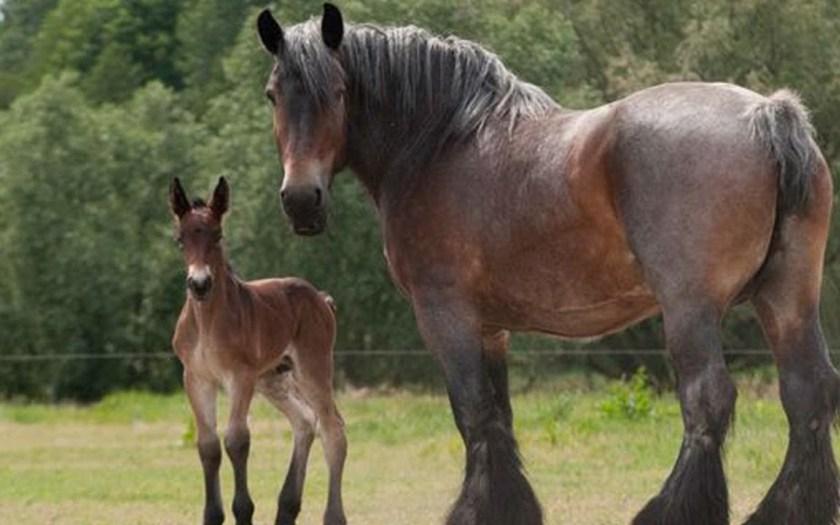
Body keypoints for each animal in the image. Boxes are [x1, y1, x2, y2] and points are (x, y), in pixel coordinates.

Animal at [169, 177, 346, 524]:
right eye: (181, 240)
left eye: (217, 235)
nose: (199, 284)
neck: (207, 324)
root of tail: (320, 298)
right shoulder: (196, 378)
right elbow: (208, 445)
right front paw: (213, 515)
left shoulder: (241, 377)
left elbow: (237, 440)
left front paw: (243, 510)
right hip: (273, 380)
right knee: (305, 421)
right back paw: (286, 508)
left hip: (312, 369)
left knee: (333, 430)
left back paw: (333, 516)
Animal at [260, 5, 836, 524]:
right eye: (273, 94)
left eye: (337, 92)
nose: (301, 201)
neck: (439, 145)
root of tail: (768, 115)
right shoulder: (491, 328)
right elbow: (499, 415)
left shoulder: (445, 315)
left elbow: (473, 412)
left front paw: (475, 513)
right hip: (787, 297)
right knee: (807, 393)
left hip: (690, 308)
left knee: (708, 400)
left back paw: (668, 512)